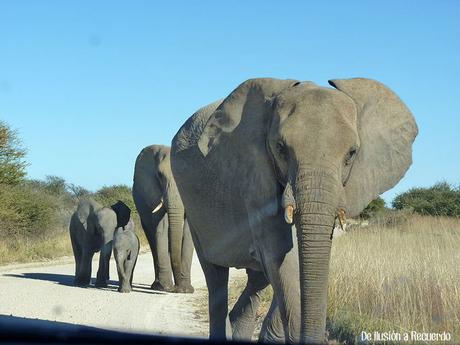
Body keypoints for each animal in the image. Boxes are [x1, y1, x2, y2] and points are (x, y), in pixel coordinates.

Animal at [132, 144, 193, 292]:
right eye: (159, 175)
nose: (176, 288)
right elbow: (162, 227)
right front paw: (166, 288)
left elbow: (189, 233)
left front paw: (186, 290)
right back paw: (157, 286)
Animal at [171, 77, 418, 342]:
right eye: (280, 148)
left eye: (352, 153)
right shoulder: (254, 177)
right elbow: (282, 257)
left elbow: (289, 262)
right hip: (194, 210)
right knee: (216, 276)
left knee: (257, 276)